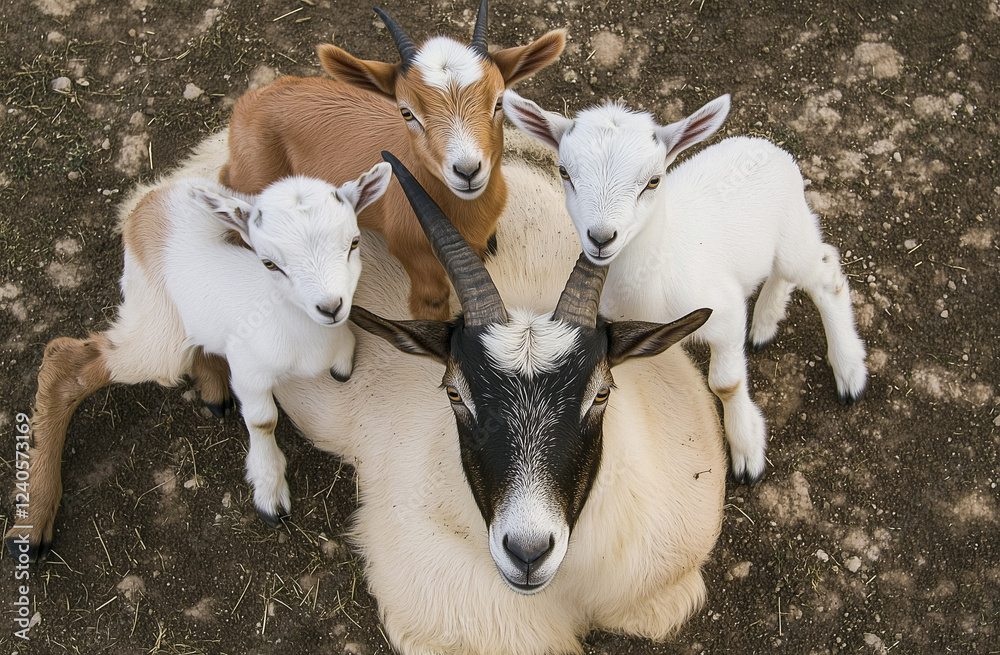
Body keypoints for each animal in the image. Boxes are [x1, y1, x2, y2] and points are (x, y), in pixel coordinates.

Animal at [6, 165, 391, 559]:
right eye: (269, 263)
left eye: (354, 242)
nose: (330, 307)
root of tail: (153, 198)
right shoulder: (249, 371)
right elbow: (263, 421)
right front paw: (269, 492)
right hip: (159, 333)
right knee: (66, 357)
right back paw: (33, 525)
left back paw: (214, 391)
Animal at [221, 0, 567, 320]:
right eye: (406, 111)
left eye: (498, 102)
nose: (467, 172)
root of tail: (252, 99)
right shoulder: (414, 255)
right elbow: (431, 300)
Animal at [503, 91, 868, 485]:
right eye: (564, 172)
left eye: (653, 181)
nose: (601, 238)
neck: (652, 276)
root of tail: (769, 146)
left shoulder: (725, 313)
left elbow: (727, 383)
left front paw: (746, 449)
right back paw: (766, 321)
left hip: (793, 236)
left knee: (826, 273)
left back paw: (848, 369)